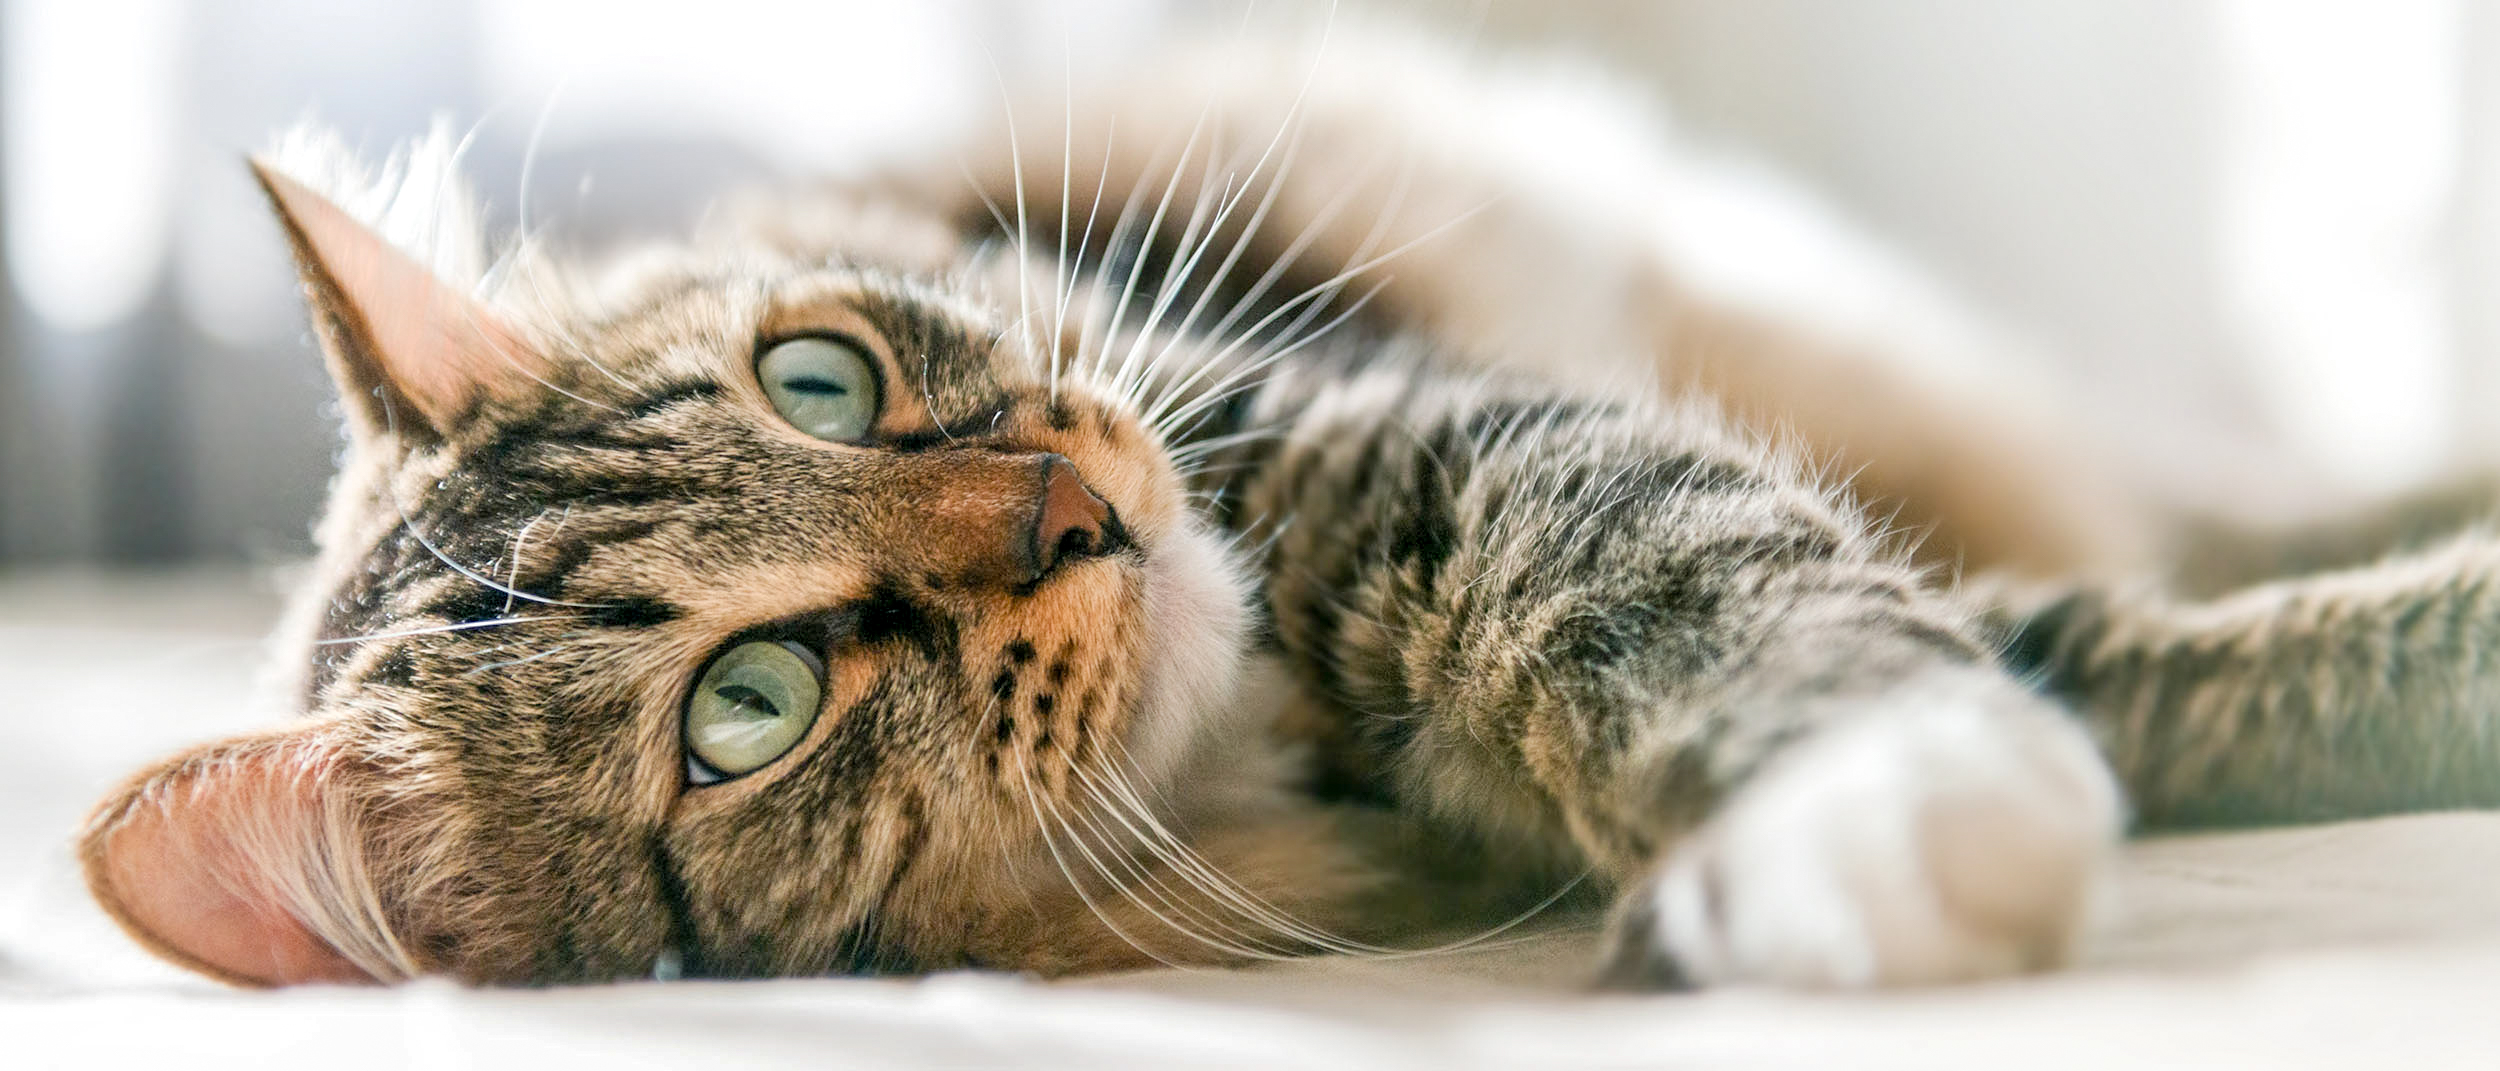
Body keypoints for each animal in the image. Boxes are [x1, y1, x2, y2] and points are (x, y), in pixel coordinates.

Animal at [68, 20, 2500, 990]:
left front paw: (1867, 822)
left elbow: (1791, 605)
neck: (1268, 764)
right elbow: (2117, 672)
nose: (1066, 510)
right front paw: (1898, 838)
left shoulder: (1412, 439)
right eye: (748, 708)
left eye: (821, 378)